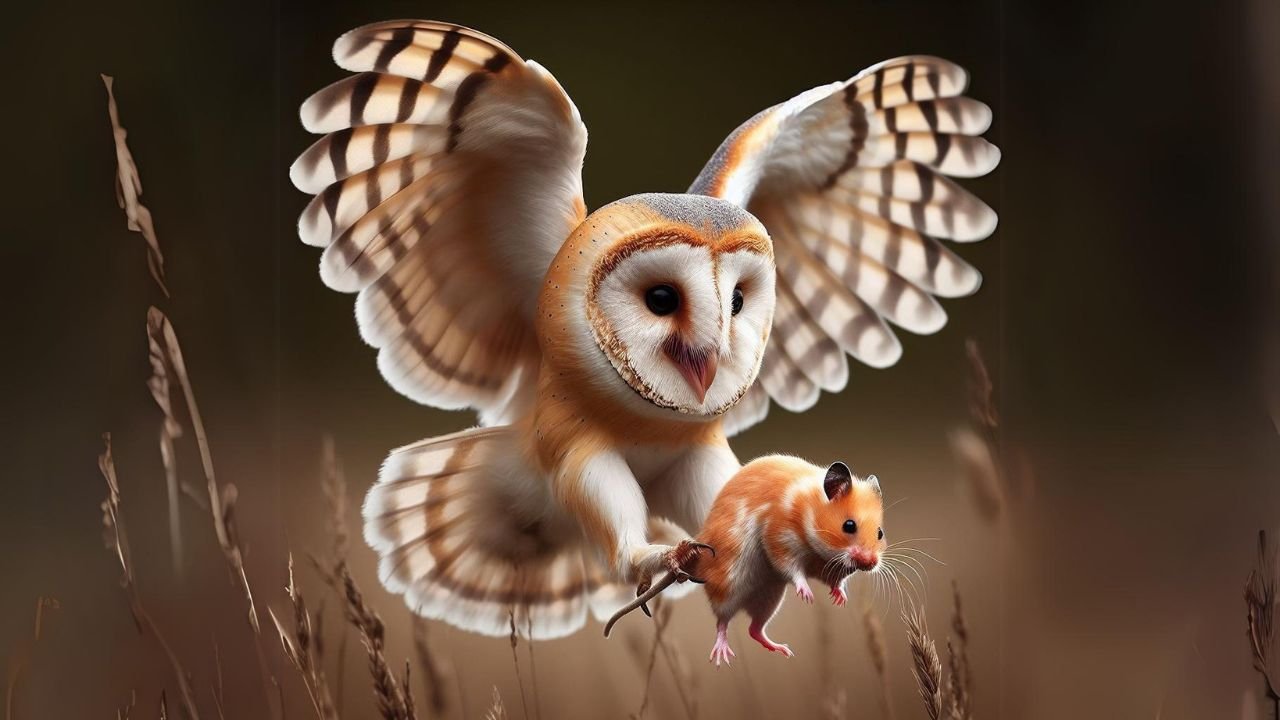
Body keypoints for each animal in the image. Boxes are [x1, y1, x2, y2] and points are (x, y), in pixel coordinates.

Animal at [604, 455, 886, 666]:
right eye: (848, 525)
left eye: (880, 533)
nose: (870, 563)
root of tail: (697, 555)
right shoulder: (780, 540)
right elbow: (793, 570)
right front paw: (807, 595)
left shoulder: (828, 566)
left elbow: (834, 581)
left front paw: (840, 599)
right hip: (731, 582)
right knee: (722, 620)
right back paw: (722, 656)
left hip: (769, 596)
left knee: (754, 629)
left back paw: (783, 650)